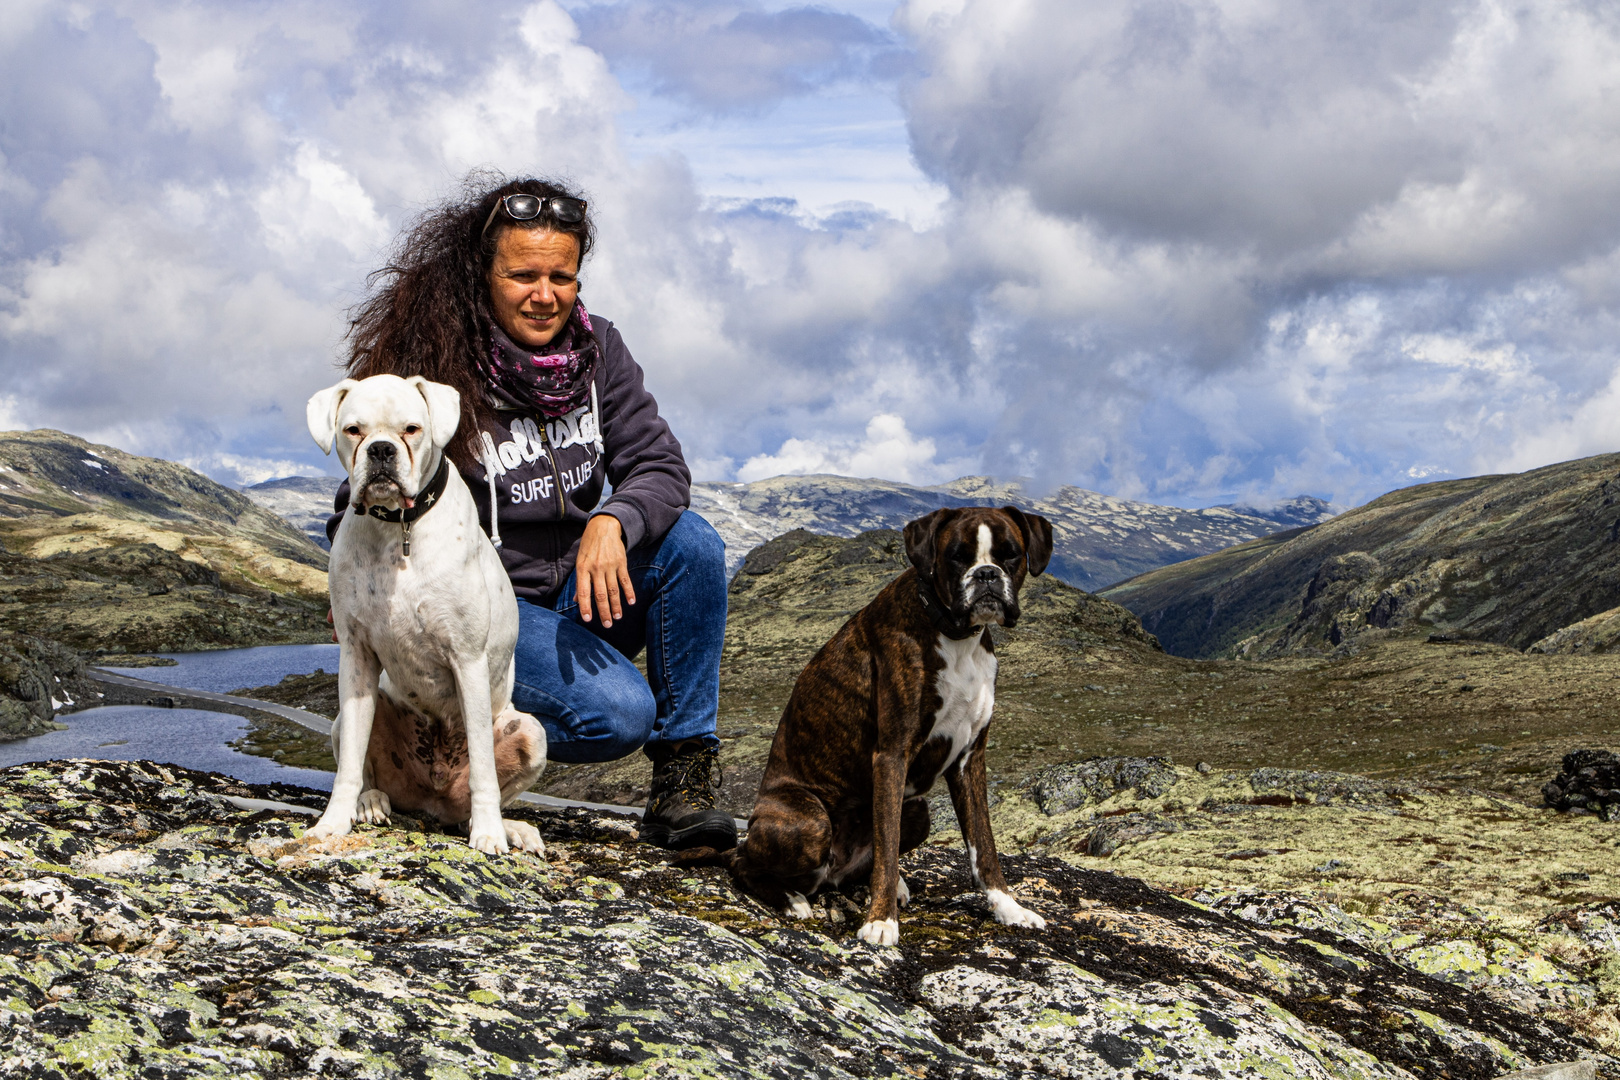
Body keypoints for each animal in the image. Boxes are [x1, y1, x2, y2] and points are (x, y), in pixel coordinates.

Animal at [304, 375, 550, 854]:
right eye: (353, 430)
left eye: (412, 429)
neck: (398, 528)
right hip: (349, 717)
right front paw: (332, 823)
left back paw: (507, 826)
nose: (381, 450)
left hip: (530, 732)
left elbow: (484, 771)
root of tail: (430, 800)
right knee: (367, 771)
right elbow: (347, 767)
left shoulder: (467, 661)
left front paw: (490, 833)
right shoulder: (357, 659)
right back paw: (370, 802)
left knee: (477, 799)